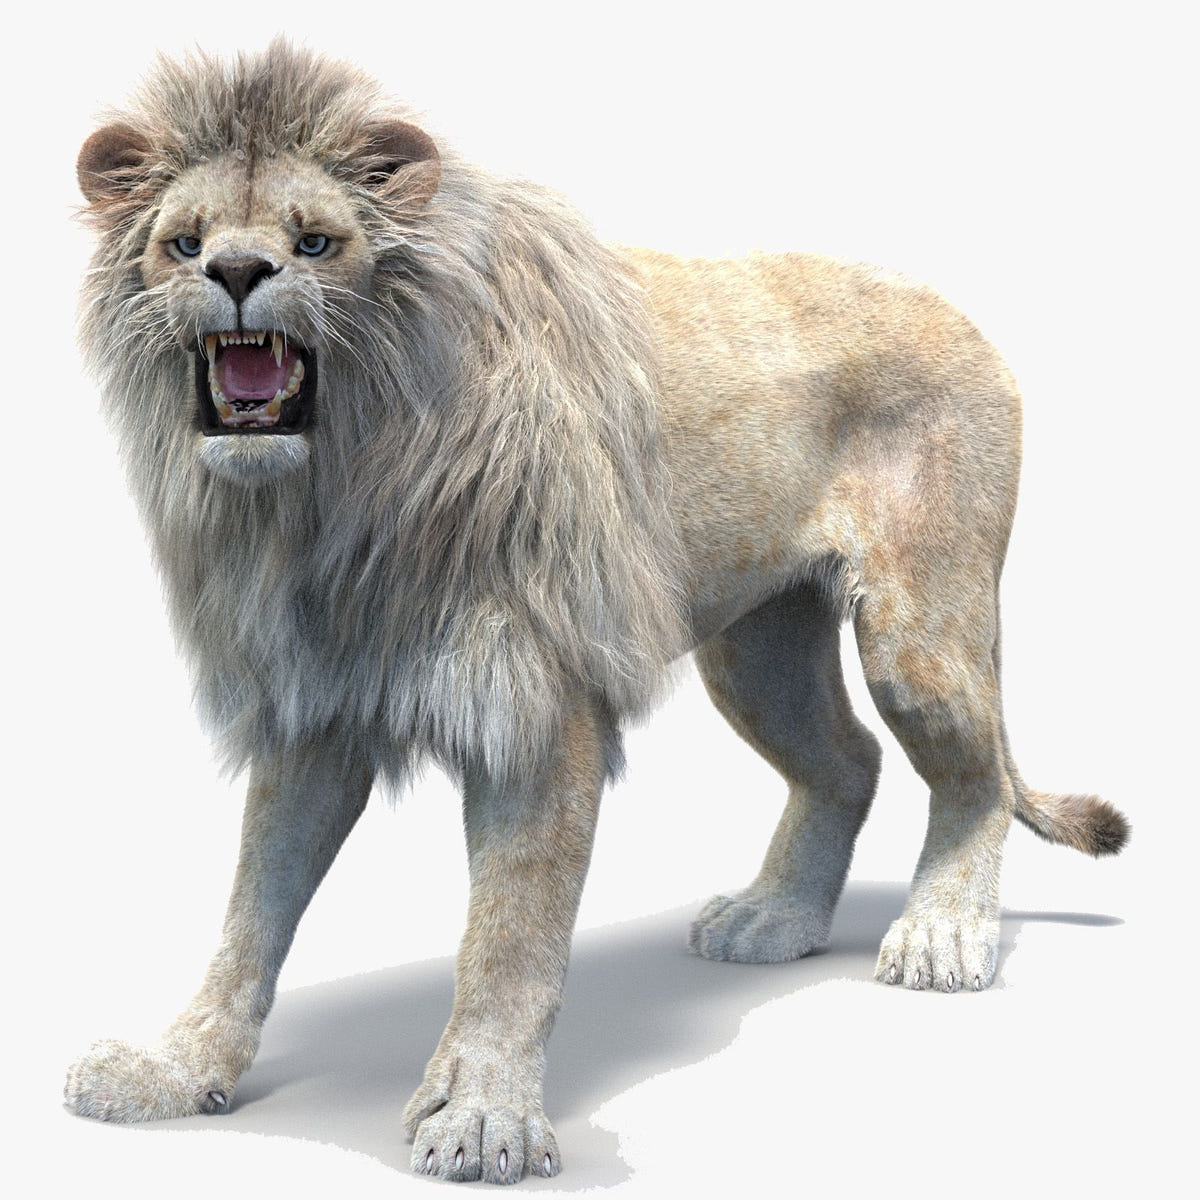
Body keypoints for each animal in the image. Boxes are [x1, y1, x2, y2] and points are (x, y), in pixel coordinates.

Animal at [65, 40, 1128, 1184]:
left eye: (314, 240)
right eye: (185, 243)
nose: (234, 276)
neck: (338, 488)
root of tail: (957, 309)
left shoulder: (539, 700)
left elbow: (510, 933)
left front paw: (485, 1115)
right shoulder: (318, 704)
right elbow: (251, 913)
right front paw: (173, 1068)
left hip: (917, 633)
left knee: (972, 776)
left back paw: (942, 936)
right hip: (757, 649)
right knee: (848, 759)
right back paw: (775, 918)